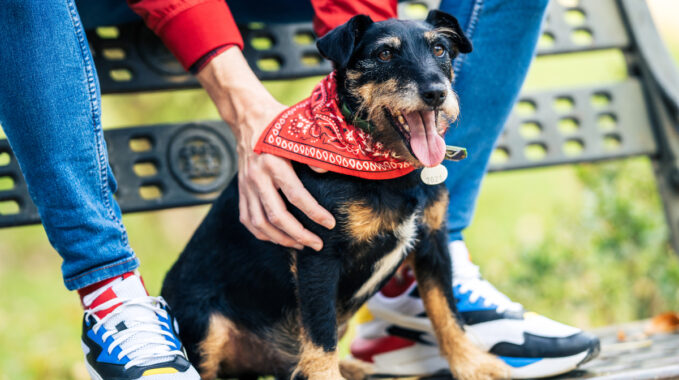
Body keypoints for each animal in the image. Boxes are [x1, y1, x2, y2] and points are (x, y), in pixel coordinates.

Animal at [161, 9, 510, 380]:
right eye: (384, 54)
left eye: (440, 49)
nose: (436, 93)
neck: (388, 165)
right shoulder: (318, 254)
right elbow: (320, 330)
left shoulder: (433, 242)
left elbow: (446, 310)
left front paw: (471, 364)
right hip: (205, 323)